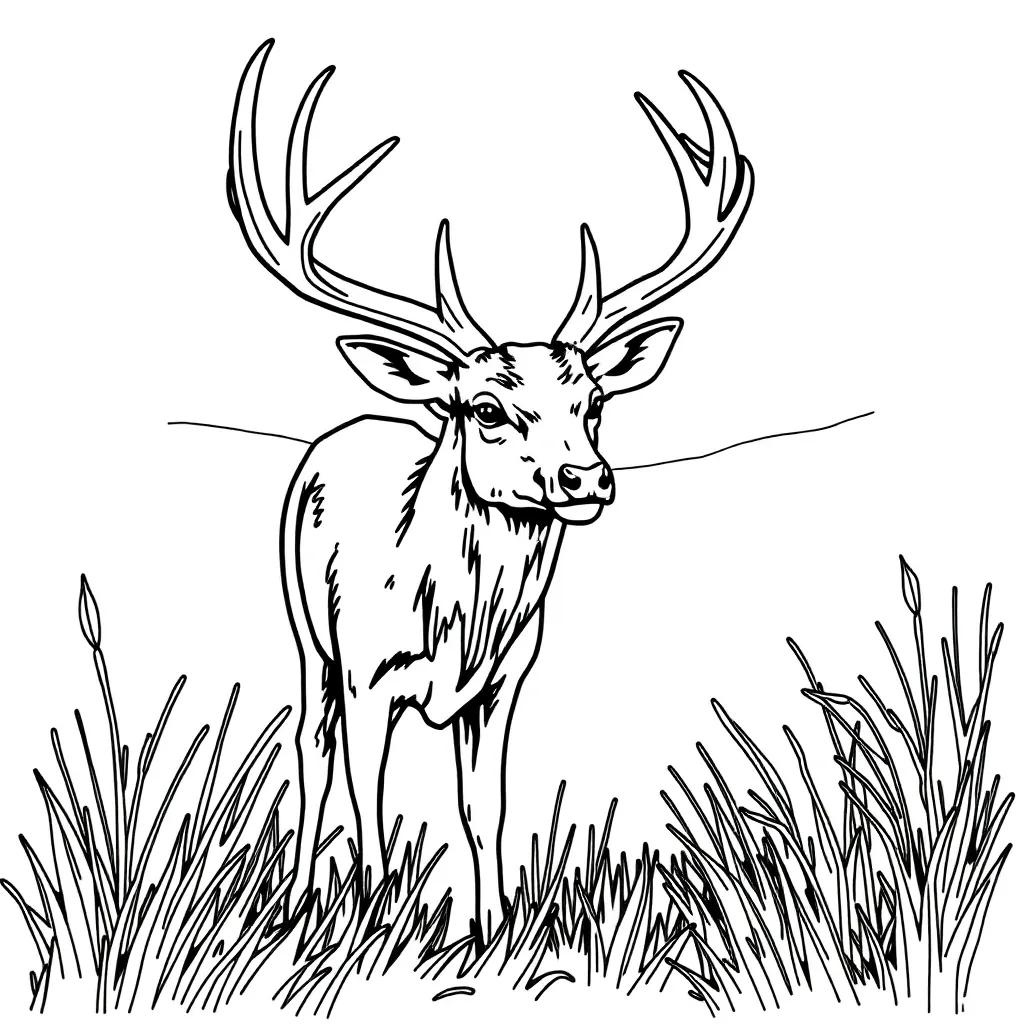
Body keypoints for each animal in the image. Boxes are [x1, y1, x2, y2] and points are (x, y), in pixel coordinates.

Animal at [226, 39, 753, 940]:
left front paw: (495, 928)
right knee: (310, 748)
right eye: (486, 407)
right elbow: (369, 797)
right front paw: (377, 920)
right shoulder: (367, 673)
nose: (586, 476)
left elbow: (485, 807)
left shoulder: (504, 684)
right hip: (307, 633)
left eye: (595, 401)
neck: (455, 622)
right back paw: (296, 902)